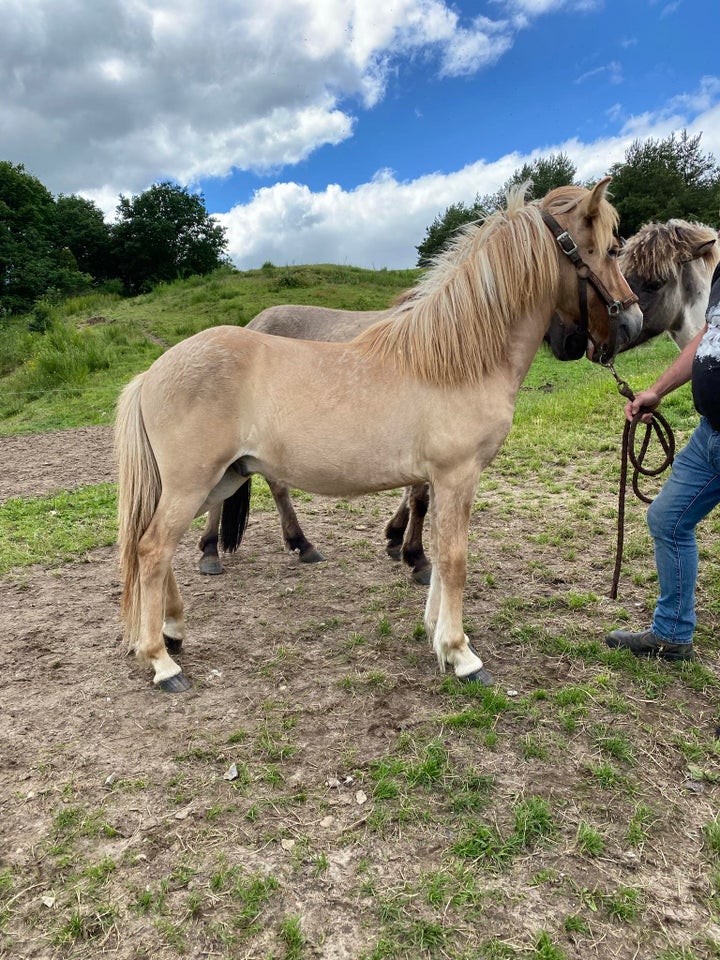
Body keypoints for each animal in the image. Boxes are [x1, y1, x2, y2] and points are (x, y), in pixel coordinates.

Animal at [116, 180, 640, 688]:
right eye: (611, 249)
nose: (632, 323)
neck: (458, 358)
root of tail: (152, 373)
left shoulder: (441, 479)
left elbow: (437, 549)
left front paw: (436, 634)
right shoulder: (457, 475)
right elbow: (455, 558)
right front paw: (462, 654)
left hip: (218, 480)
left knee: (157, 548)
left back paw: (174, 628)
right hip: (193, 483)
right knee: (152, 549)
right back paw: (162, 661)